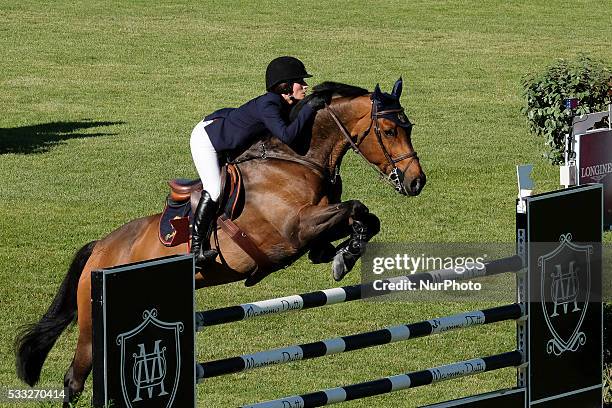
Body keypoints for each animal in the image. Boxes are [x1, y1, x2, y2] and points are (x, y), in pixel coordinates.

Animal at [15, 77, 426, 404]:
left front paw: (345, 254)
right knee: (74, 379)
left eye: (409, 126)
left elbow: (363, 217)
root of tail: (99, 248)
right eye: (390, 131)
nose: (416, 182)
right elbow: (355, 207)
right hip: (91, 328)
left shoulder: (316, 226)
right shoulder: (294, 229)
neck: (298, 159)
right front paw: (346, 256)